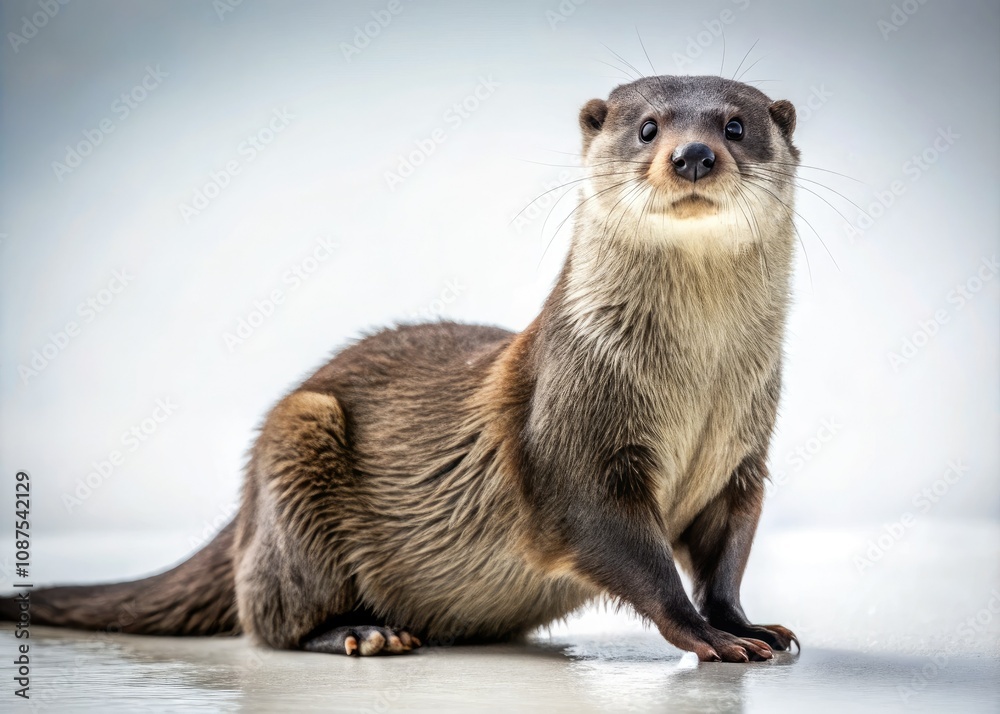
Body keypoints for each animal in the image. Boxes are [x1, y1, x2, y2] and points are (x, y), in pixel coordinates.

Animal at [3, 75, 801, 663]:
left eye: (736, 126)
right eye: (648, 128)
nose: (693, 153)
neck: (696, 387)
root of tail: (243, 512)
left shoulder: (744, 458)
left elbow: (727, 551)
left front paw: (748, 624)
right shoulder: (572, 442)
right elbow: (626, 548)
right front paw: (704, 635)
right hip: (298, 437)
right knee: (270, 619)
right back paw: (363, 631)